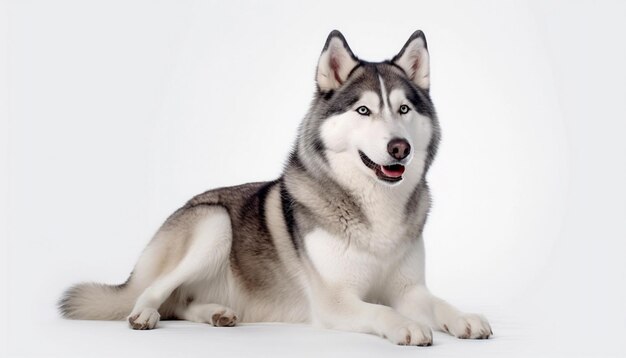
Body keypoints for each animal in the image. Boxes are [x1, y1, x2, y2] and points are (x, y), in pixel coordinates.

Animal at [62, 31, 492, 346]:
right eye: (363, 110)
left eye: (404, 109)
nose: (399, 148)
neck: (375, 209)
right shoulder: (336, 300)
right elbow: (382, 310)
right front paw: (405, 326)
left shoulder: (409, 289)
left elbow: (437, 303)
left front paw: (464, 318)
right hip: (214, 223)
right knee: (151, 291)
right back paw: (144, 313)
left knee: (181, 304)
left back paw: (216, 313)